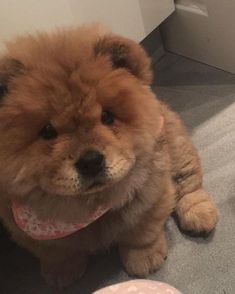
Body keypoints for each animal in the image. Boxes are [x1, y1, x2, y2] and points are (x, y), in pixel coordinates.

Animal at [0, 24, 218, 288]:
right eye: (48, 131)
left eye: (107, 117)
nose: (90, 161)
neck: (91, 207)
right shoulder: (21, 225)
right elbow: (57, 251)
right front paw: (61, 272)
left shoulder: (150, 195)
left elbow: (141, 232)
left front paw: (143, 259)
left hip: (176, 145)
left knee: (188, 183)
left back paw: (199, 214)